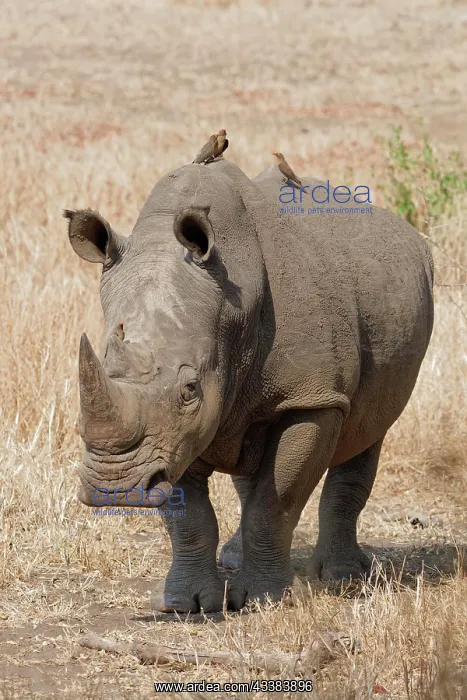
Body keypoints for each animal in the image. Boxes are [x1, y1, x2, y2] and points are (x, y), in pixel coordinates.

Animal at [65, 159, 434, 612]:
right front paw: (183, 604)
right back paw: (238, 559)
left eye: (191, 388)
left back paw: (343, 577)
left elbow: (275, 502)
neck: (229, 310)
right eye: (104, 366)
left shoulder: (311, 398)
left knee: (367, 434)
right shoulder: (167, 440)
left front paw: (264, 601)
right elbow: (188, 514)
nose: (115, 488)